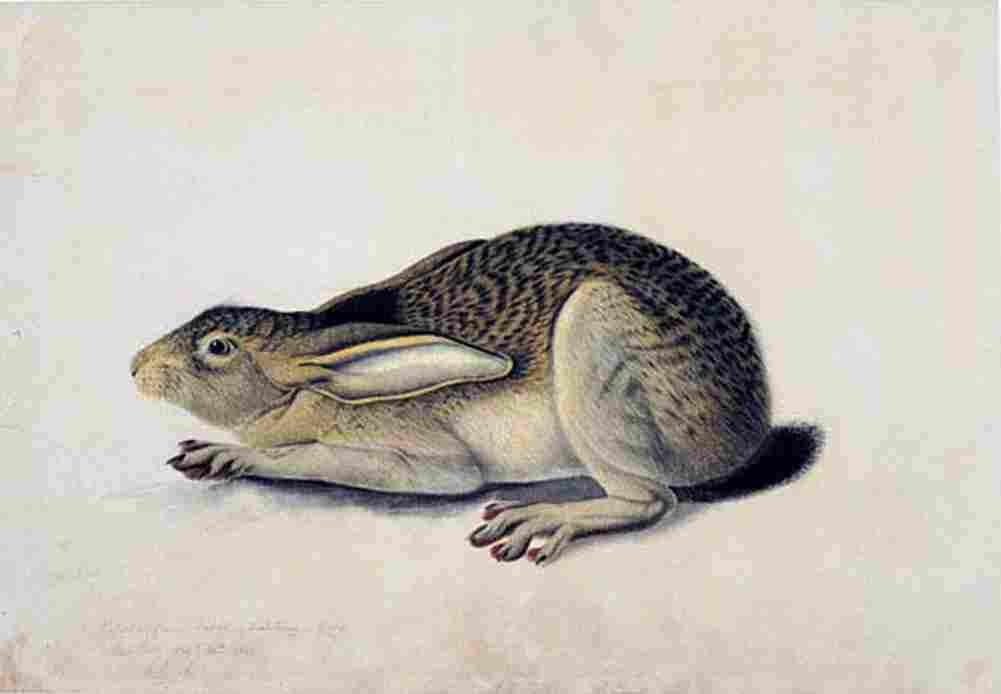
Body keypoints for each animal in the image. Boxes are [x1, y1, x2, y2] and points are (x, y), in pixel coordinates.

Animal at [131, 223, 823, 565]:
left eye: (217, 348)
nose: (136, 366)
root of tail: (748, 423)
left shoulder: (423, 461)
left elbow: (308, 458)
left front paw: (231, 456)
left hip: (595, 341)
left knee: (651, 499)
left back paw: (540, 518)